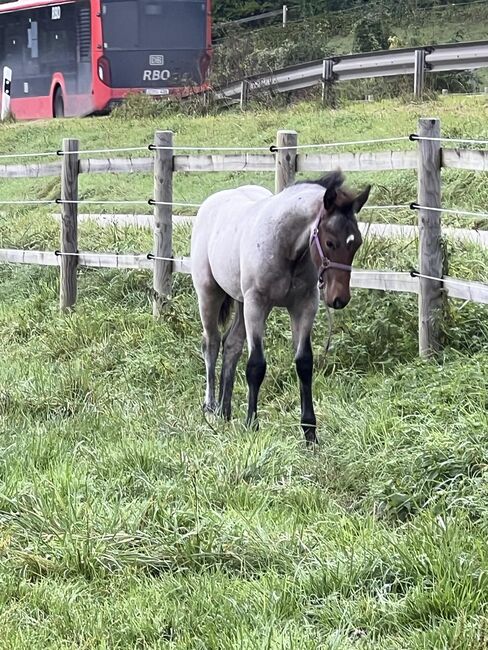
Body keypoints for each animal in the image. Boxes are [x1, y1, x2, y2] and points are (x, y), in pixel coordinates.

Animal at [191, 167, 370, 442]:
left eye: (357, 242)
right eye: (330, 242)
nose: (339, 298)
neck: (286, 249)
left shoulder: (304, 305)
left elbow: (304, 363)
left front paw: (310, 432)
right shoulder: (257, 304)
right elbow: (256, 365)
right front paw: (252, 425)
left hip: (240, 303)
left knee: (231, 345)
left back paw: (225, 412)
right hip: (210, 294)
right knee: (211, 344)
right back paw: (210, 409)